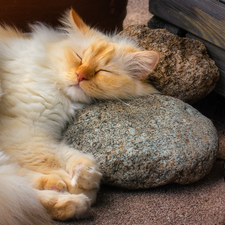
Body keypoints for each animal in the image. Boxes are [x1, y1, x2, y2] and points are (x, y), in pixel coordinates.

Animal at [0, 8, 159, 225]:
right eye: (79, 58)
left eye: (103, 71)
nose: (80, 76)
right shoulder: (24, 129)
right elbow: (51, 160)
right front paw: (74, 183)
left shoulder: (39, 132)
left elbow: (74, 157)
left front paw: (84, 177)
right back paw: (67, 195)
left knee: (24, 194)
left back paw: (70, 200)